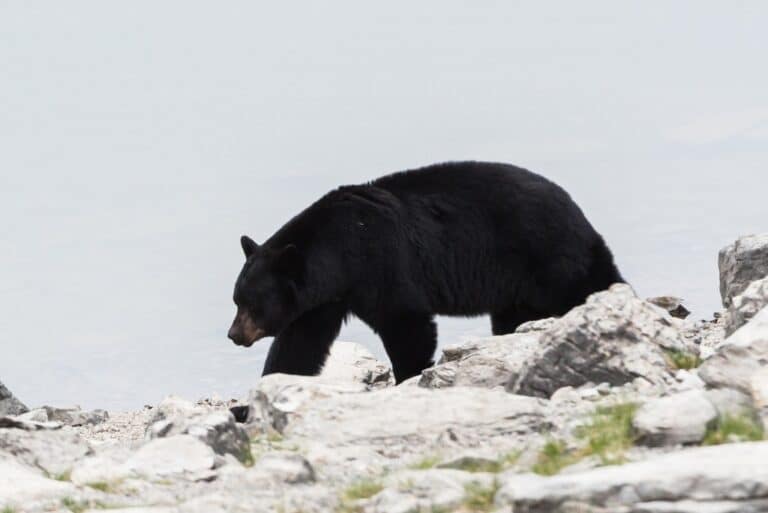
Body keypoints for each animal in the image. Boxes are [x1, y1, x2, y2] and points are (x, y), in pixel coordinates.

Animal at [228, 161, 623, 383]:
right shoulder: (324, 299)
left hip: (548, 258)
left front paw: (409, 376)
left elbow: (407, 324)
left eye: (251, 304)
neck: (338, 251)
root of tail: (577, 213)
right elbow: (299, 343)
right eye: (236, 300)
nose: (233, 335)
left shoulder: (380, 265)